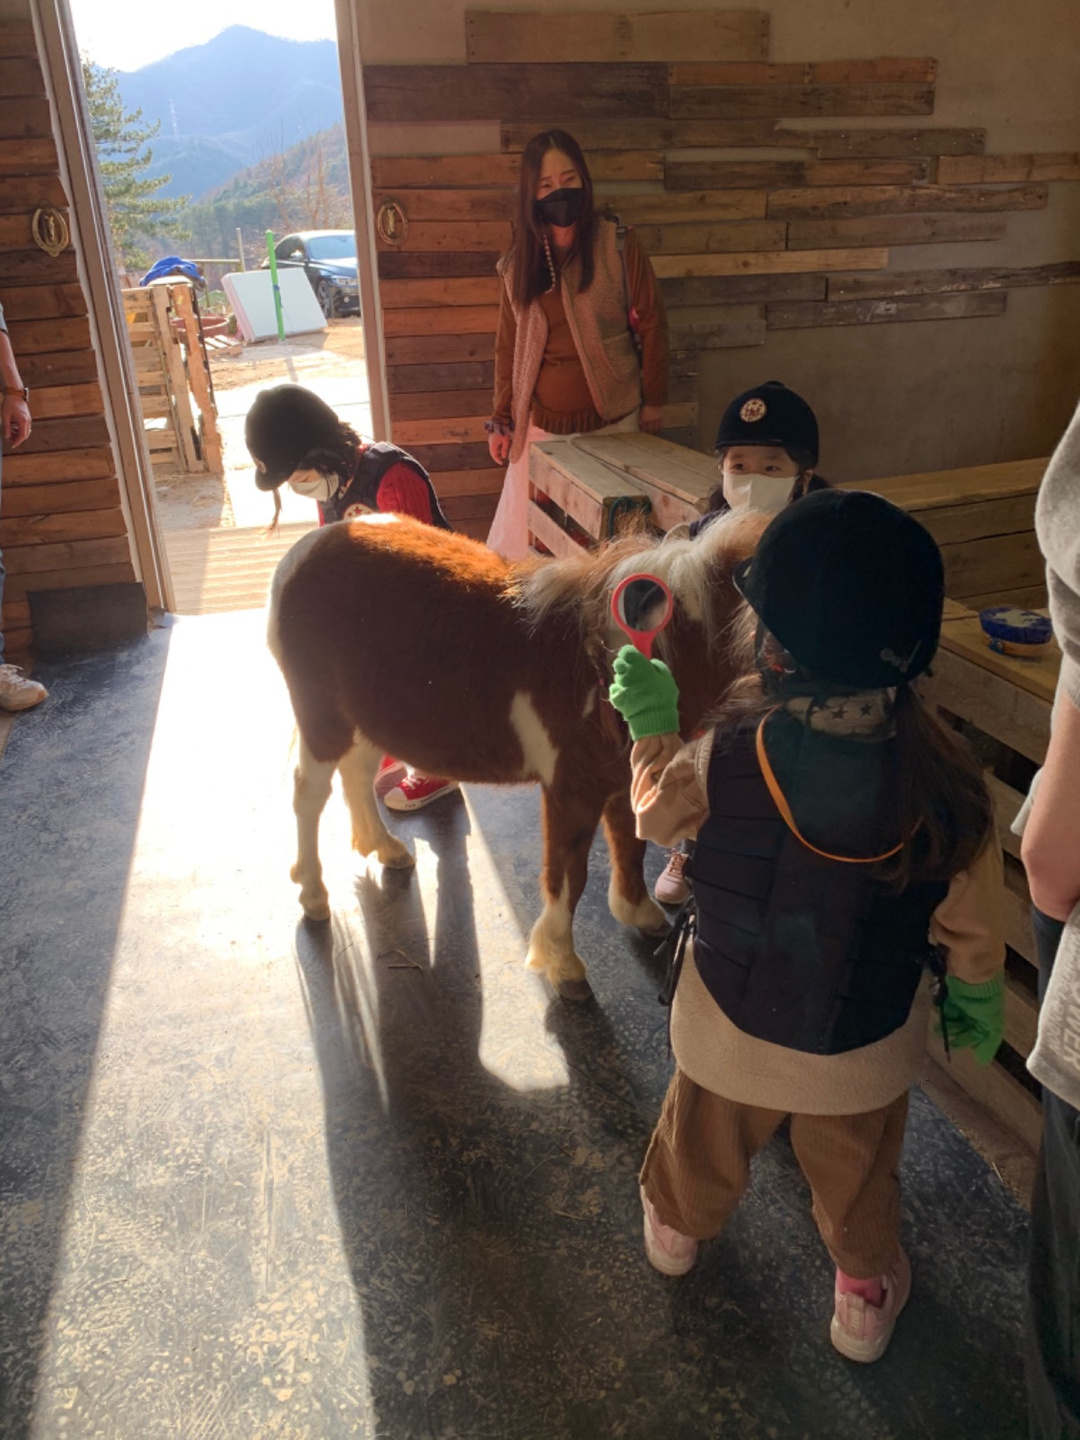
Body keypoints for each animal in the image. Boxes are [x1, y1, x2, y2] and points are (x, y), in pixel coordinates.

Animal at [269, 509, 760, 1002]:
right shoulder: (571, 792)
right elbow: (569, 877)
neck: (612, 662)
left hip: (369, 718)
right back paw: (313, 895)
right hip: (324, 720)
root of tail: (304, 551)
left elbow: (630, 847)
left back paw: (386, 849)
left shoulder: (625, 782)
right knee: (309, 796)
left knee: (356, 774)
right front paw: (564, 966)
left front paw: (639, 913)